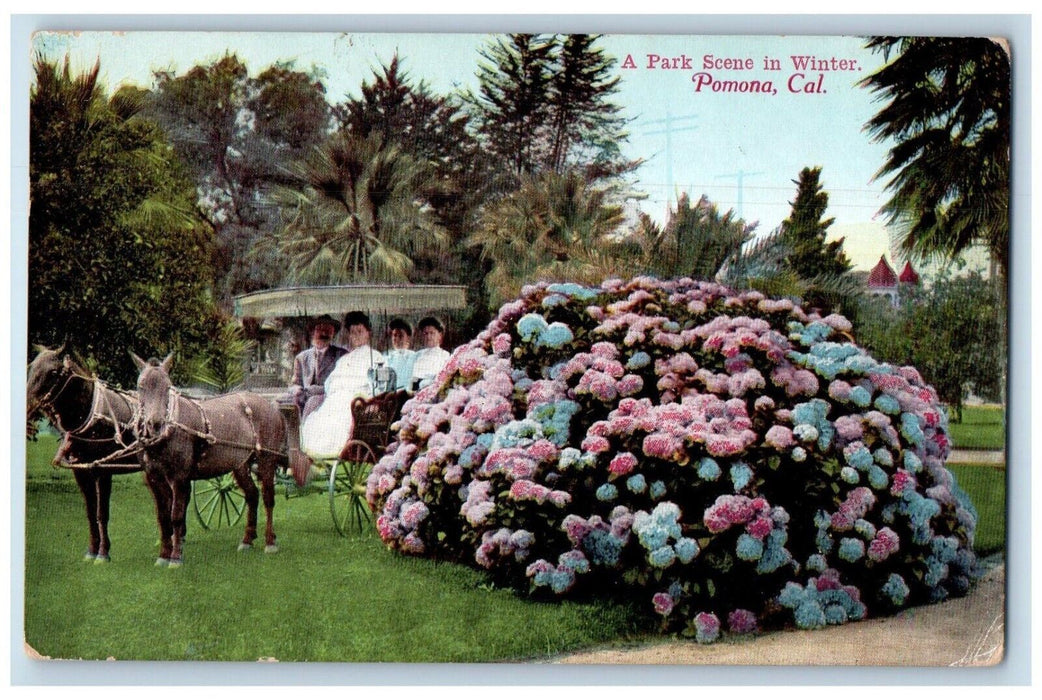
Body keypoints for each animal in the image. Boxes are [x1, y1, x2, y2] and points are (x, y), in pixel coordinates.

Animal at [26, 345, 141, 562]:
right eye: (31, 367)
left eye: (53, 372)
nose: (28, 406)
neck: (90, 413)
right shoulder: (80, 471)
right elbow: (90, 512)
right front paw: (91, 551)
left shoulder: (103, 470)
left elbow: (102, 513)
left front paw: (103, 554)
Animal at [130, 352, 287, 566]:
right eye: (141, 386)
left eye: (167, 386)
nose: (155, 423)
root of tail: (270, 405)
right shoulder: (153, 478)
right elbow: (163, 518)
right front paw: (163, 555)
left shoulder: (179, 478)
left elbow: (176, 515)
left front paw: (175, 557)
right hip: (240, 464)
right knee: (252, 494)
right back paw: (247, 539)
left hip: (267, 460)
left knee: (268, 498)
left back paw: (270, 541)